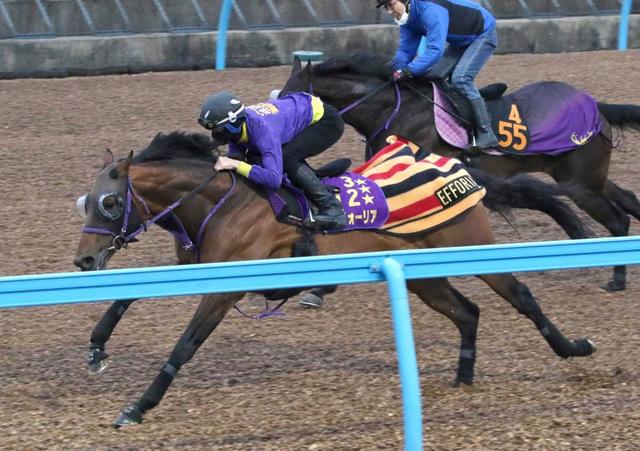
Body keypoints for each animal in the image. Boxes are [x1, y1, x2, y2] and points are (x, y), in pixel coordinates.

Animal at [75, 132, 596, 430]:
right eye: (86, 200)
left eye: (109, 203)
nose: (83, 260)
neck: (221, 202)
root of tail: (459, 168)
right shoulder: (192, 268)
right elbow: (125, 298)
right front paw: (97, 349)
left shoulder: (228, 285)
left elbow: (185, 345)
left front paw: (137, 407)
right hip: (420, 275)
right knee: (467, 311)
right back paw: (462, 377)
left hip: (474, 248)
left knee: (520, 296)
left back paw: (573, 348)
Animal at [282, 53, 640, 294]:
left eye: (292, 99)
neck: (395, 110)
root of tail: (596, 106)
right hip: (591, 179)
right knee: (627, 201)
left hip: (582, 184)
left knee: (617, 218)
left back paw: (616, 279)